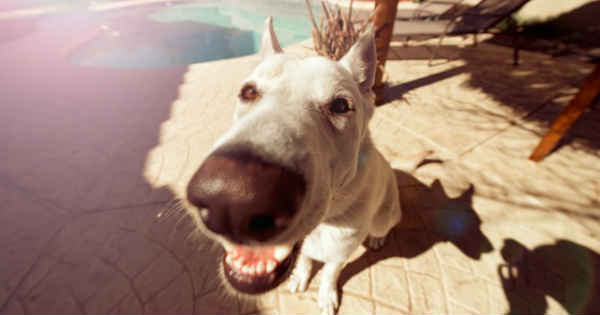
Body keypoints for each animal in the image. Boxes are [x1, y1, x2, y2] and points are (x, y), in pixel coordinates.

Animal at [185, 17, 400, 315]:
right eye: (248, 92)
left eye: (341, 105)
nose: (233, 201)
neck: (324, 225)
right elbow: (306, 260)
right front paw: (301, 276)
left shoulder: (340, 254)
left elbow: (330, 272)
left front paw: (326, 294)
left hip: (384, 216)